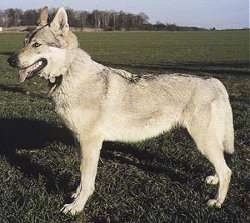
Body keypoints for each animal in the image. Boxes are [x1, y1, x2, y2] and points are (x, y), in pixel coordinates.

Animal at [7, 6, 234, 215]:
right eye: (24, 42)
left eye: (37, 45)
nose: (10, 60)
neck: (68, 74)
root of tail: (213, 81)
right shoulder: (80, 142)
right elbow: (81, 177)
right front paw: (76, 194)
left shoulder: (91, 143)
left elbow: (87, 180)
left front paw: (76, 206)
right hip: (203, 141)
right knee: (221, 163)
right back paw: (213, 179)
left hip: (202, 141)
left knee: (227, 170)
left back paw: (217, 201)